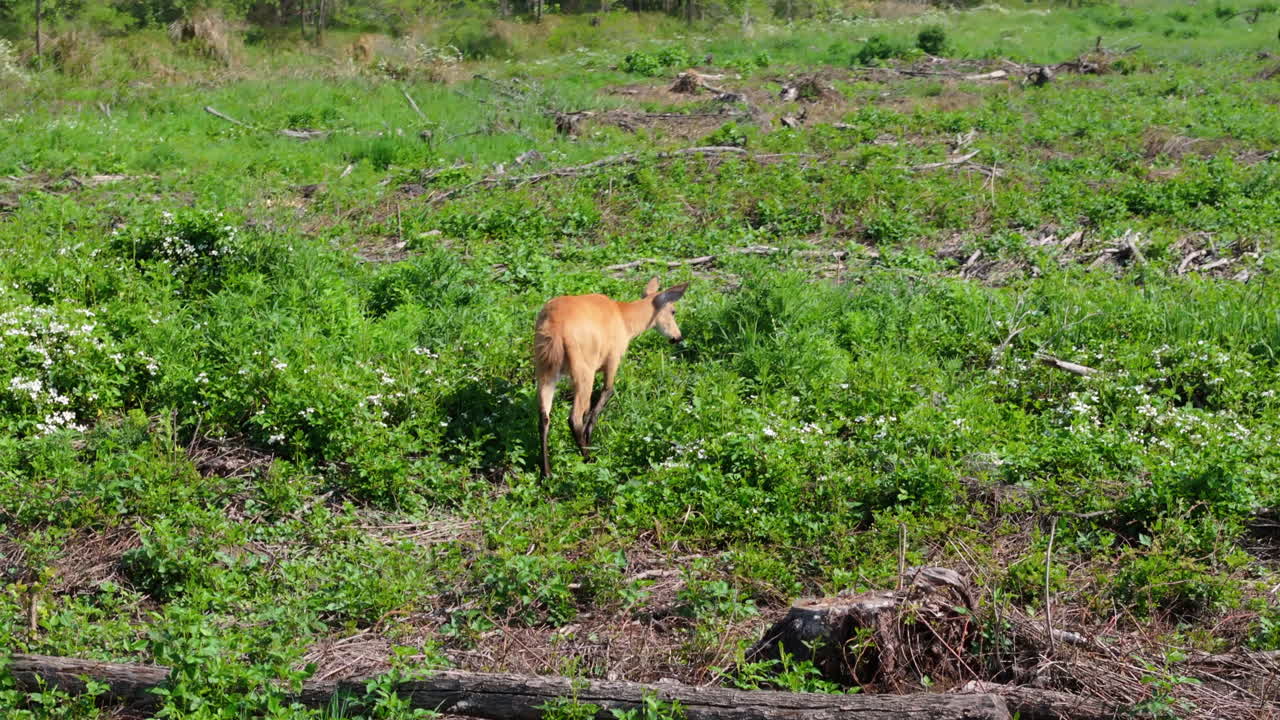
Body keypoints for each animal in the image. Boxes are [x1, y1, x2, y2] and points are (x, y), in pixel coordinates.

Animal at [534, 277, 689, 477]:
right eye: (673, 311)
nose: (678, 337)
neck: (625, 319)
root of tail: (555, 328)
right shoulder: (613, 358)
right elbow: (607, 392)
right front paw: (590, 439)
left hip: (545, 368)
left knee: (544, 417)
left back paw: (547, 473)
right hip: (583, 369)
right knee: (573, 417)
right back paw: (588, 459)